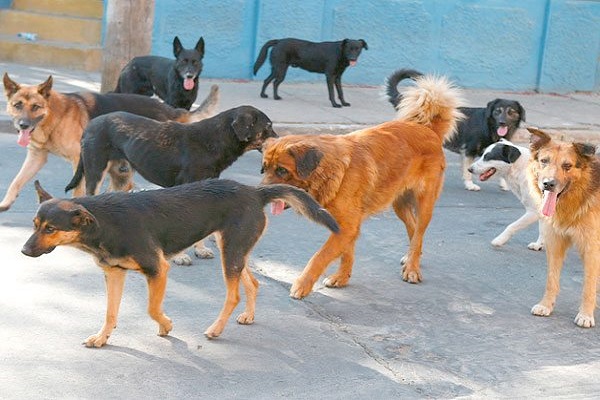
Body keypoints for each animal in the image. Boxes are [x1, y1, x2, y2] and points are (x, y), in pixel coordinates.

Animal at [0, 72, 220, 212]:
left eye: (36, 107)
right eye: (17, 105)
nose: (23, 125)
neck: (54, 116)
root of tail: (171, 111)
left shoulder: (78, 160)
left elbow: (78, 190)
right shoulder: (37, 156)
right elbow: (16, 181)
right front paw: (5, 204)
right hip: (117, 164)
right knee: (123, 185)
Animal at [23, 179, 340, 346]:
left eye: (51, 229)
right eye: (35, 224)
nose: (24, 251)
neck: (103, 223)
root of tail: (254, 191)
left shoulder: (157, 269)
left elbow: (152, 309)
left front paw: (166, 325)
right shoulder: (114, 273)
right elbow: (110, 313)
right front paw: (102, 338)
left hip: (231, 253)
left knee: (234, 294)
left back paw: (216, 329)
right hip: (234, 250)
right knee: (253, 282)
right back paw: (248, 316)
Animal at [65, 104, 278, 264]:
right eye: (268, 126)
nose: (280, 141)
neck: (215, 141)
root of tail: (92, 123)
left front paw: (200, 250)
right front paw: (181, 256)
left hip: (121, 173)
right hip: (95, 169)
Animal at [262, 72, 464, 298]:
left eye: (282, 171)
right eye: (264, 168)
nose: (262, 191)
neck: (332, 170)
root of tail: (428, 130)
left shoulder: (347, 226)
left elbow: (320, 257)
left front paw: (302, 284)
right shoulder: (345, 226)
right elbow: (346, 254)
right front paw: (342, 278)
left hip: (424, 203)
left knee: (419, 231)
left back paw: (412, 268)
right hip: (399, 204)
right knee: (413, 229)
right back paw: (412, 257)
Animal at [528, 128, 600, 328]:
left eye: (567, 166)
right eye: (544, 161)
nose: (548, 184)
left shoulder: (592, 249)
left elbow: (588, 286)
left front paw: (586, 314)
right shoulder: (555, 243)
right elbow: (551, 280)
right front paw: (546, 305)